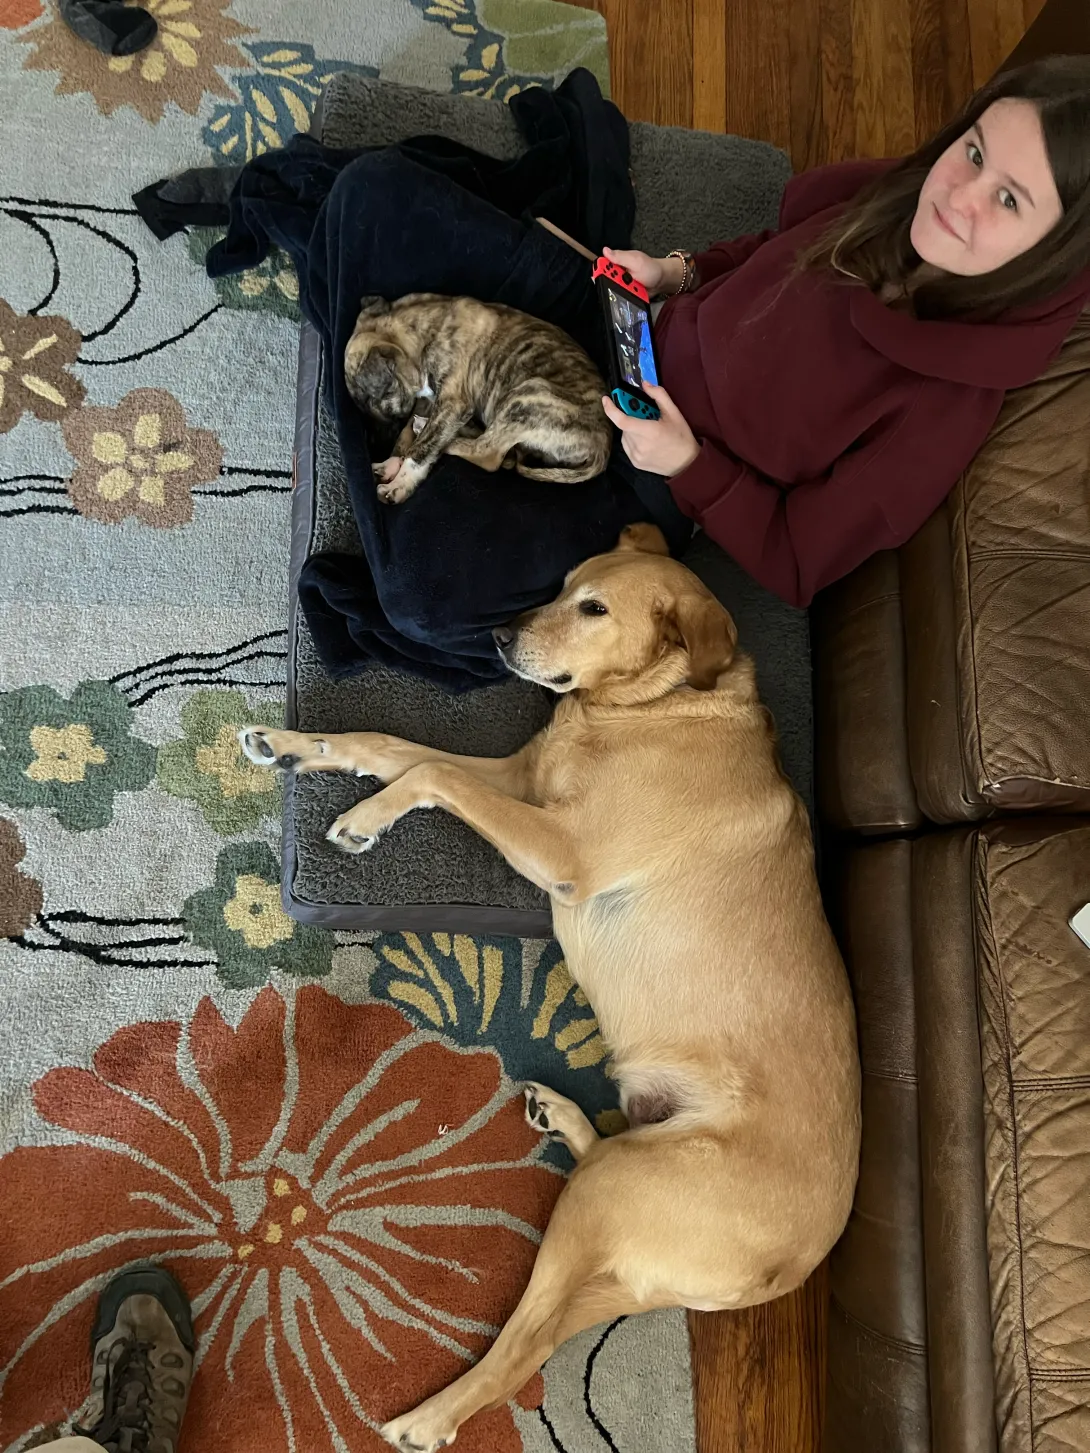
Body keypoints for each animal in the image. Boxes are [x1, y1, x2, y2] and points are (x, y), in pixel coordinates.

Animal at [345, 289, 616, 505]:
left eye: (372, 403)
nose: (372, 444)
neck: (427, 333)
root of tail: (603, 450)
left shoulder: (452, 403)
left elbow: (422, 447)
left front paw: (400, 485)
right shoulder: (428, 400)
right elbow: (407, 436)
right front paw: (391, 464)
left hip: (528, 397)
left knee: (488, 454)